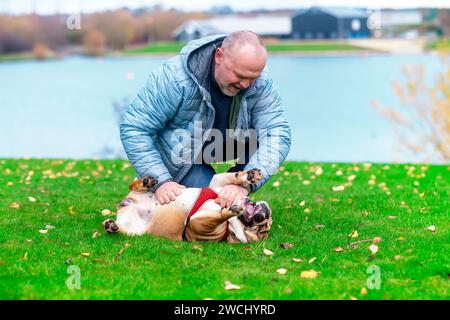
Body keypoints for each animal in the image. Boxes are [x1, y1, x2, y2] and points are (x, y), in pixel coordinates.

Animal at [103, 169, 270, 244]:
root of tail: (124, 204)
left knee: (121, 230)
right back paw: (146, 182)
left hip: (134, 230)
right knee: (134, 186)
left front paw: (231, 210)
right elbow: (230, 177)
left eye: (261, 231)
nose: (266, 213)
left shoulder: (199, 223)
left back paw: (110, 225)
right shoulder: (217, 185)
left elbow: (218, 216)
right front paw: (249, 175)